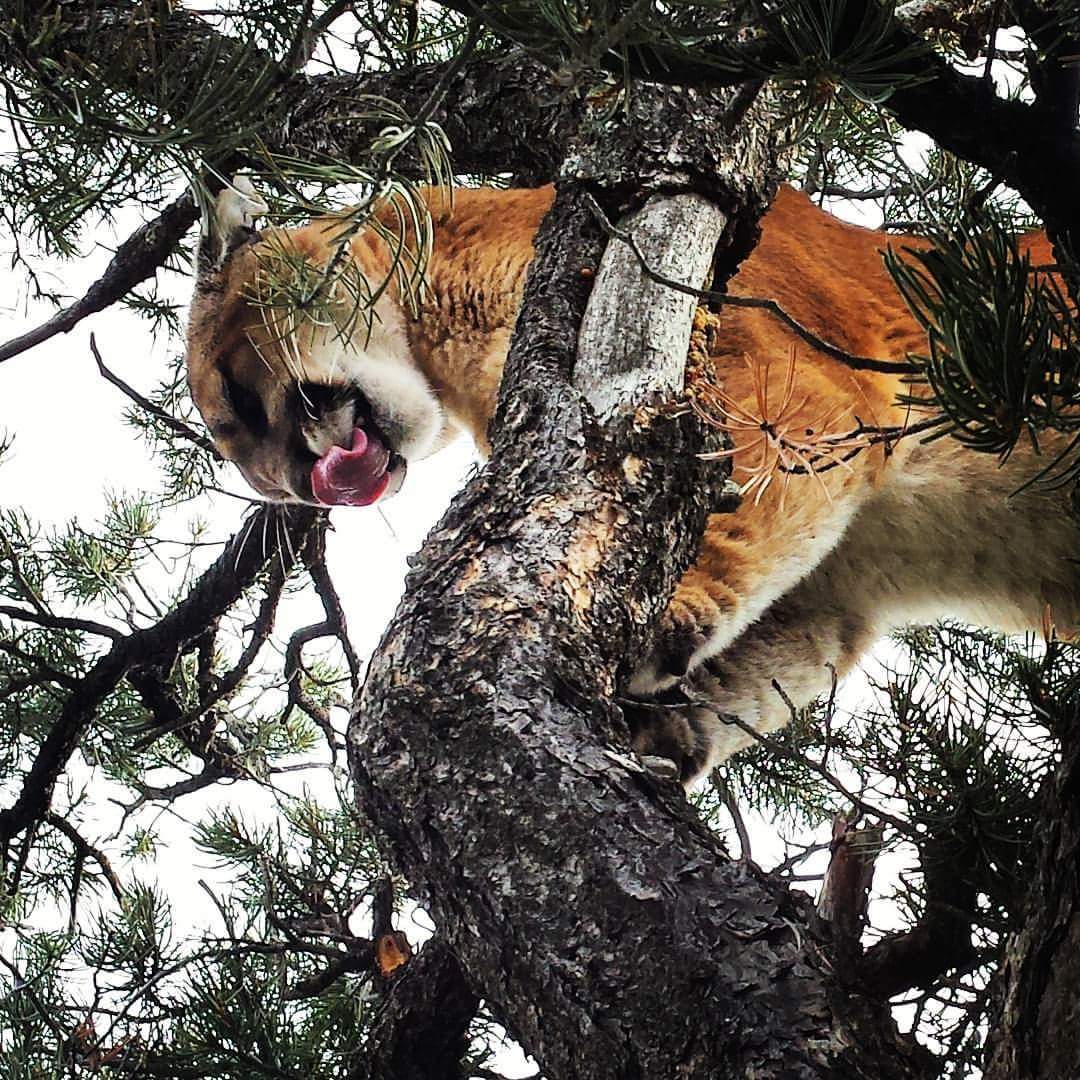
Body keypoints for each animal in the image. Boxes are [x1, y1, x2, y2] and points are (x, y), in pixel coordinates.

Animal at [186, 179, 1080, 783]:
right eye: (262, 477)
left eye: (234, 396)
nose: (298, 485)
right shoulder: (841, 581)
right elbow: (775, 644)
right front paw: (666, 723)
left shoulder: (779, 377)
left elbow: (735, 495)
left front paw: (659, 622)